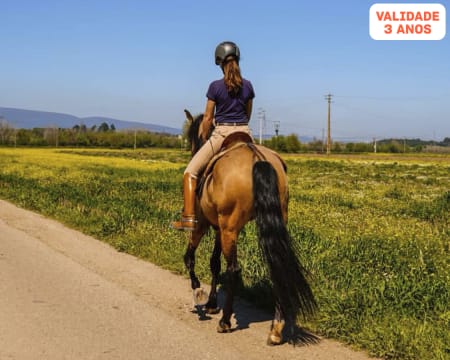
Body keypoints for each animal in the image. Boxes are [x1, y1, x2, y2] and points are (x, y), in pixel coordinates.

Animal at [180, 109, 316, 344]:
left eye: (192, 137)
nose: (192, 151)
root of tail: (258, 159)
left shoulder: (205, 225)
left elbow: (190, 257)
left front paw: (200, 294)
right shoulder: (220, 228)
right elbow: (214, 263)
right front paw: (212, 303)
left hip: (228, 227)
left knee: (234, 269)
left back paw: (225, 322)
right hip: (265, 222)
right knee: (277, 265)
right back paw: (276, 328)